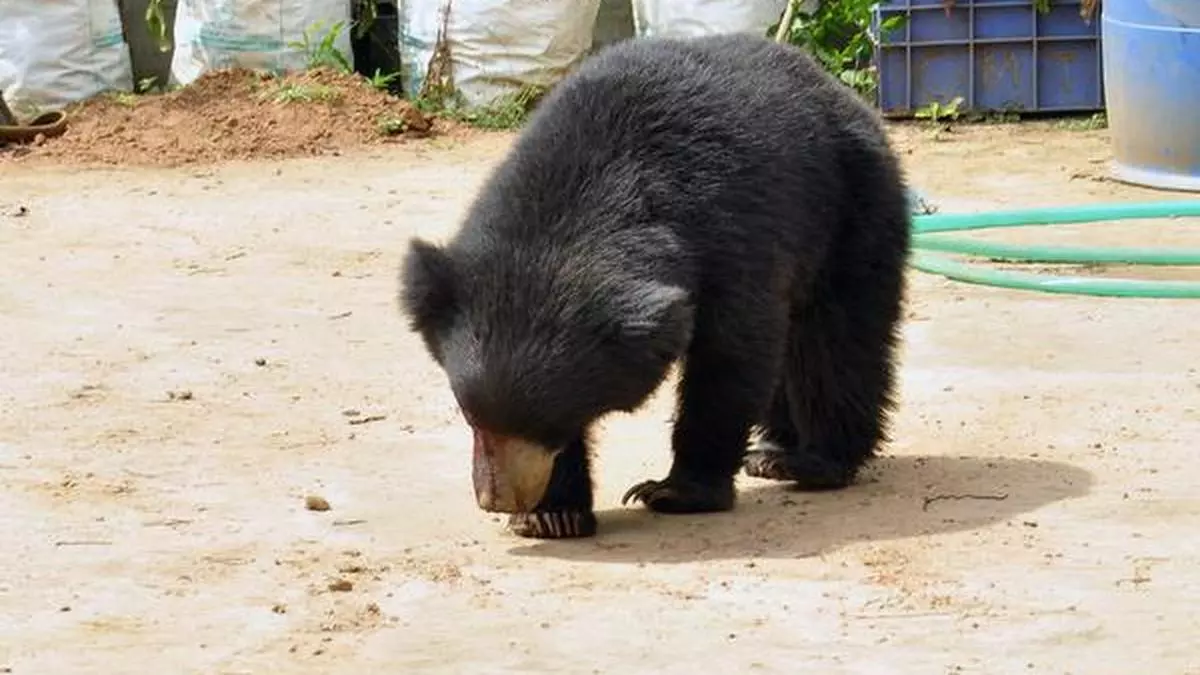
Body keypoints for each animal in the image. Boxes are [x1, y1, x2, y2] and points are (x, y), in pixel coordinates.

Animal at [398, 32, 912, 540]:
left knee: (834, 340)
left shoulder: (732, 240)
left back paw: (811, 461)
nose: (497, 499)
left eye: (549, 425)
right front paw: (552, 516)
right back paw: (772, 450)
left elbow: (731, 356)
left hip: (854, 207)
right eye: (472, 417)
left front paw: (673, 492)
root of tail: (837, 89)